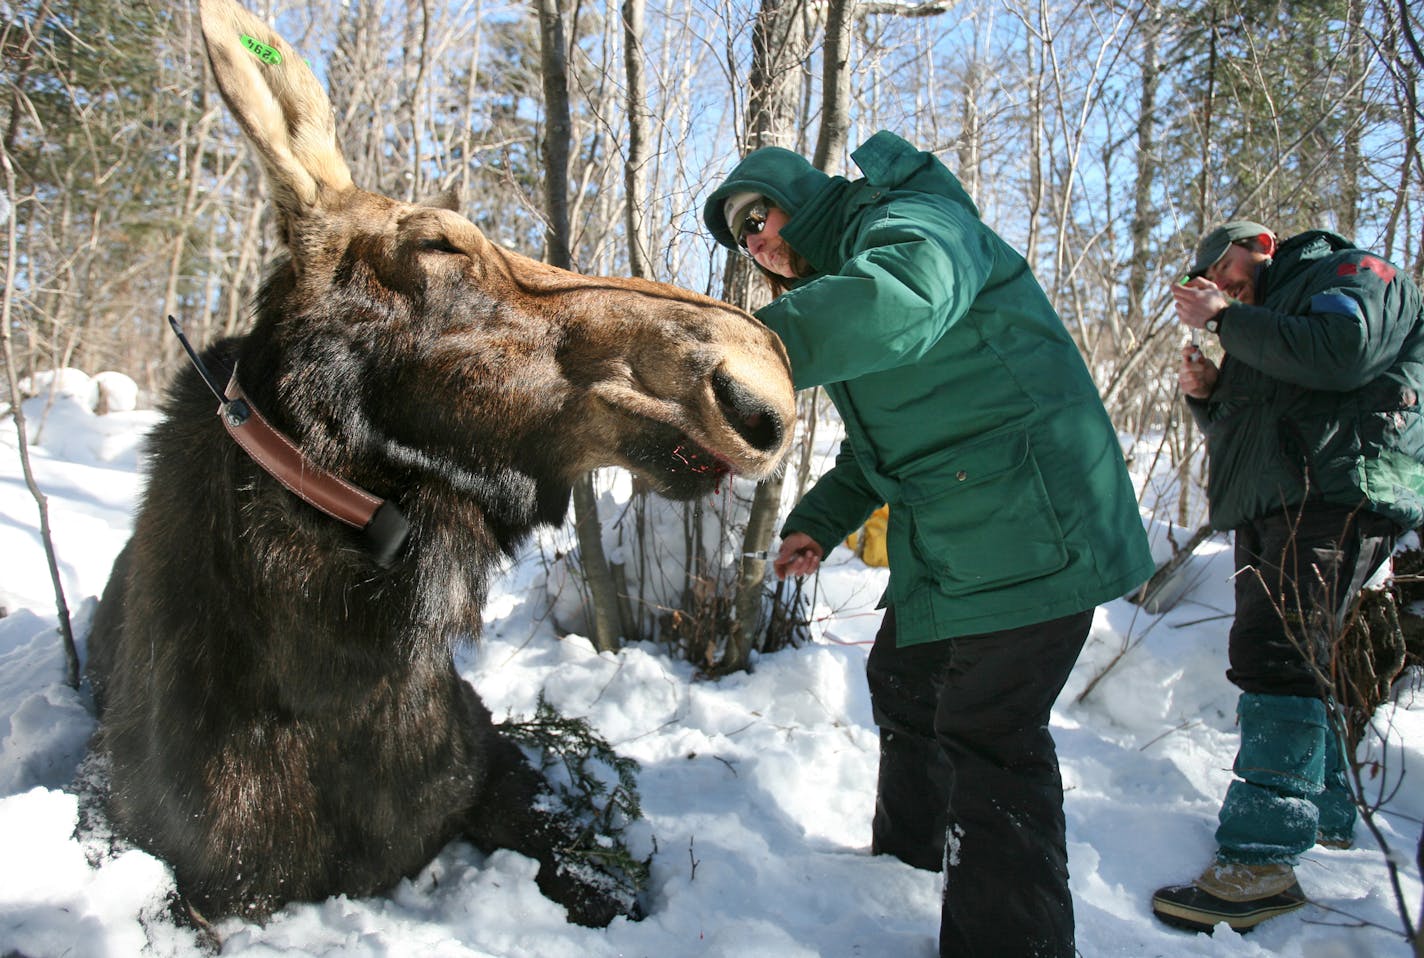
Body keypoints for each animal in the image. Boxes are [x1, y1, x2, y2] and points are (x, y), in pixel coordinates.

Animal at [87, 0, 797, 928]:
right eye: (437, 242)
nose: (757, 366)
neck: (338, 681)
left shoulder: (488, 762)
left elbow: (596, 870)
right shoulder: (189, 875)